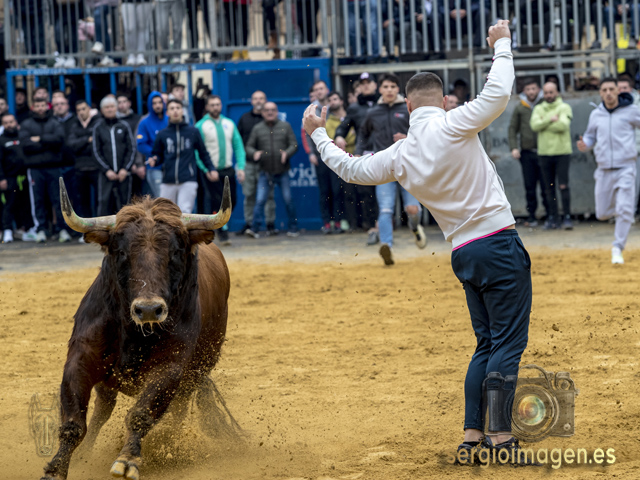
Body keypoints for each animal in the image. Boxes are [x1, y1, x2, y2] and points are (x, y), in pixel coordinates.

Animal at [41, 177, 235, 480]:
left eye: (176, 252)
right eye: (121, 252)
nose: (148, 309)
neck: (135, 334)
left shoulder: (170, 368)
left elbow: (141, 413)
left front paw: (127, 459)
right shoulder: (80, 359)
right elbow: (73, 422)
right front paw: (56, 468)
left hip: (196, 372)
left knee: (177, 413)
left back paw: (167, 445)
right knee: (102, 410)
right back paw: (86, 454)